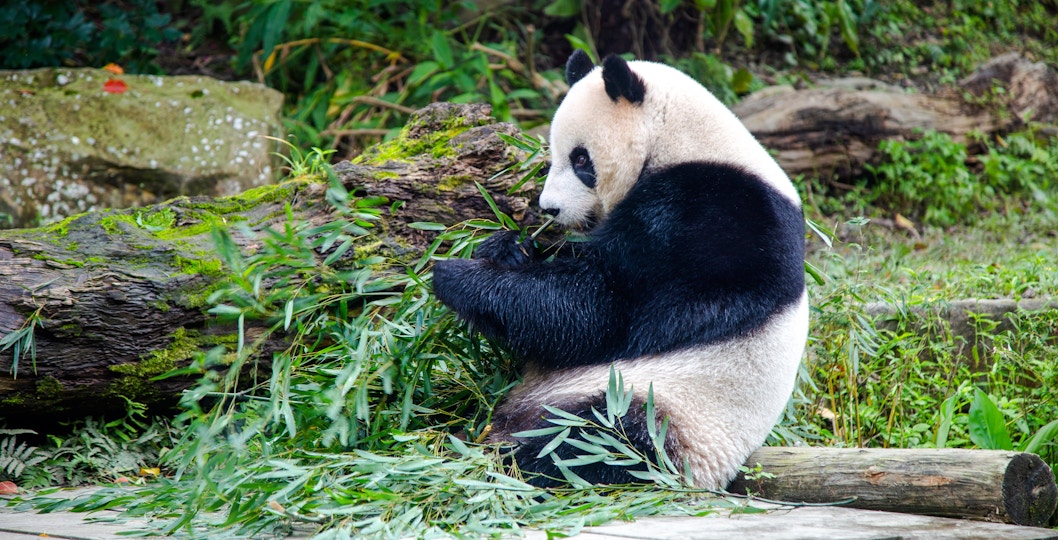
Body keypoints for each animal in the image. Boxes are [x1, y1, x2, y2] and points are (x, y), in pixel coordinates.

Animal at [431, 50, 808, 489]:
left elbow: (605, 310)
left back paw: (504, 456)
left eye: (581, 159)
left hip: (665, 409)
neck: (685, 143)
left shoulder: (716, 220)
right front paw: (507, 248)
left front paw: (455, 275)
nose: (549, 209)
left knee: (593, 439)